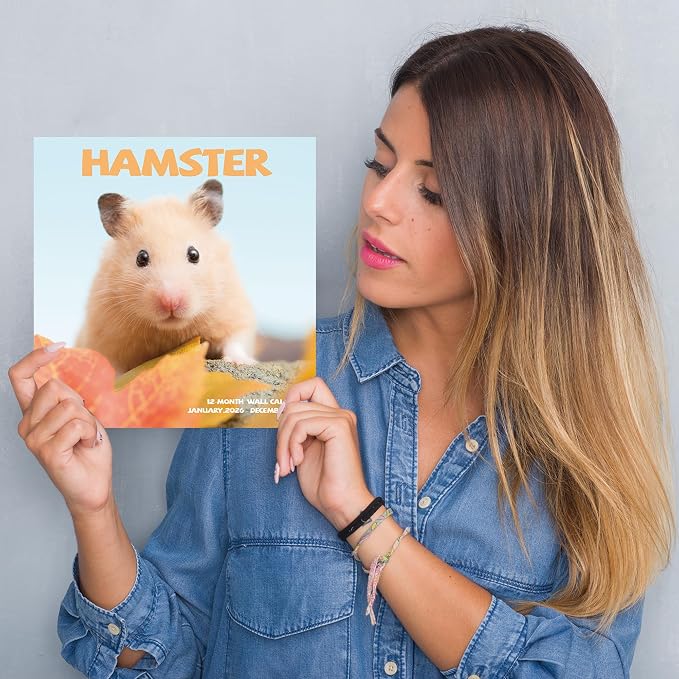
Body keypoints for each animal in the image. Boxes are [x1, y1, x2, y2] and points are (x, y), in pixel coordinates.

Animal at [75, 179, 258, 375]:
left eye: (194, 254)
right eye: (141, 258)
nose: (171, 302)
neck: (170, 331)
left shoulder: (234, 312)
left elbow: (235, 340)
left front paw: (242, 363)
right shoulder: (103, 333)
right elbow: (111, 363)